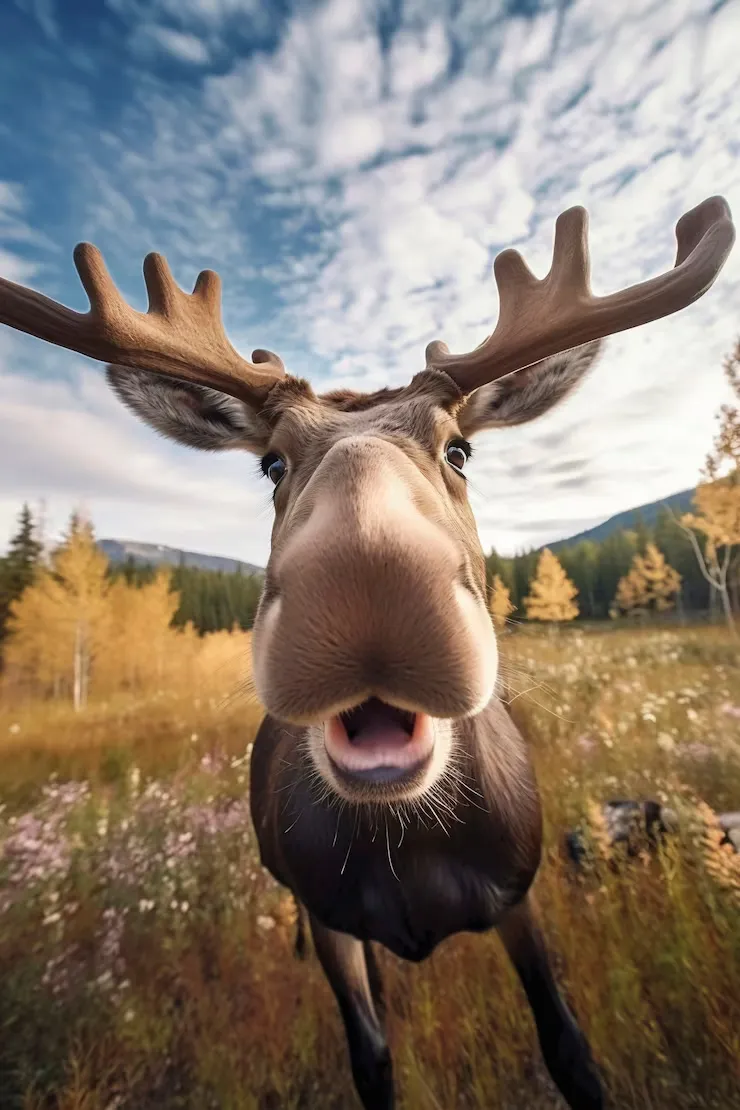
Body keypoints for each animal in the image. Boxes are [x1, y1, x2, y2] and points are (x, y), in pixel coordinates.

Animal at [0, 194, 734, 1109]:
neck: (410, 846)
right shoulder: (326, 919)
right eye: (272, 463)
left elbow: (569, 1045)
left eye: (460, 448)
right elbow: (372, 1057)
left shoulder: (520, 892)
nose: (367, 575)